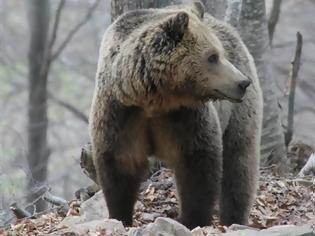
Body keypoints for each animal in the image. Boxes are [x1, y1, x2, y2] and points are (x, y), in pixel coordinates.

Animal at [89, 1, 264, 230]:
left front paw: (193, 219)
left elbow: (197, 167)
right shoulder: (121, 114)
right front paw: (121, 216)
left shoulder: (186, 118)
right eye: (212, 57)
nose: (242, 82)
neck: (154, 99)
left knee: (239, 164)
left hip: (238, 115)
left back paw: (234, 218)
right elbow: (119, 166)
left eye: (220, 53)